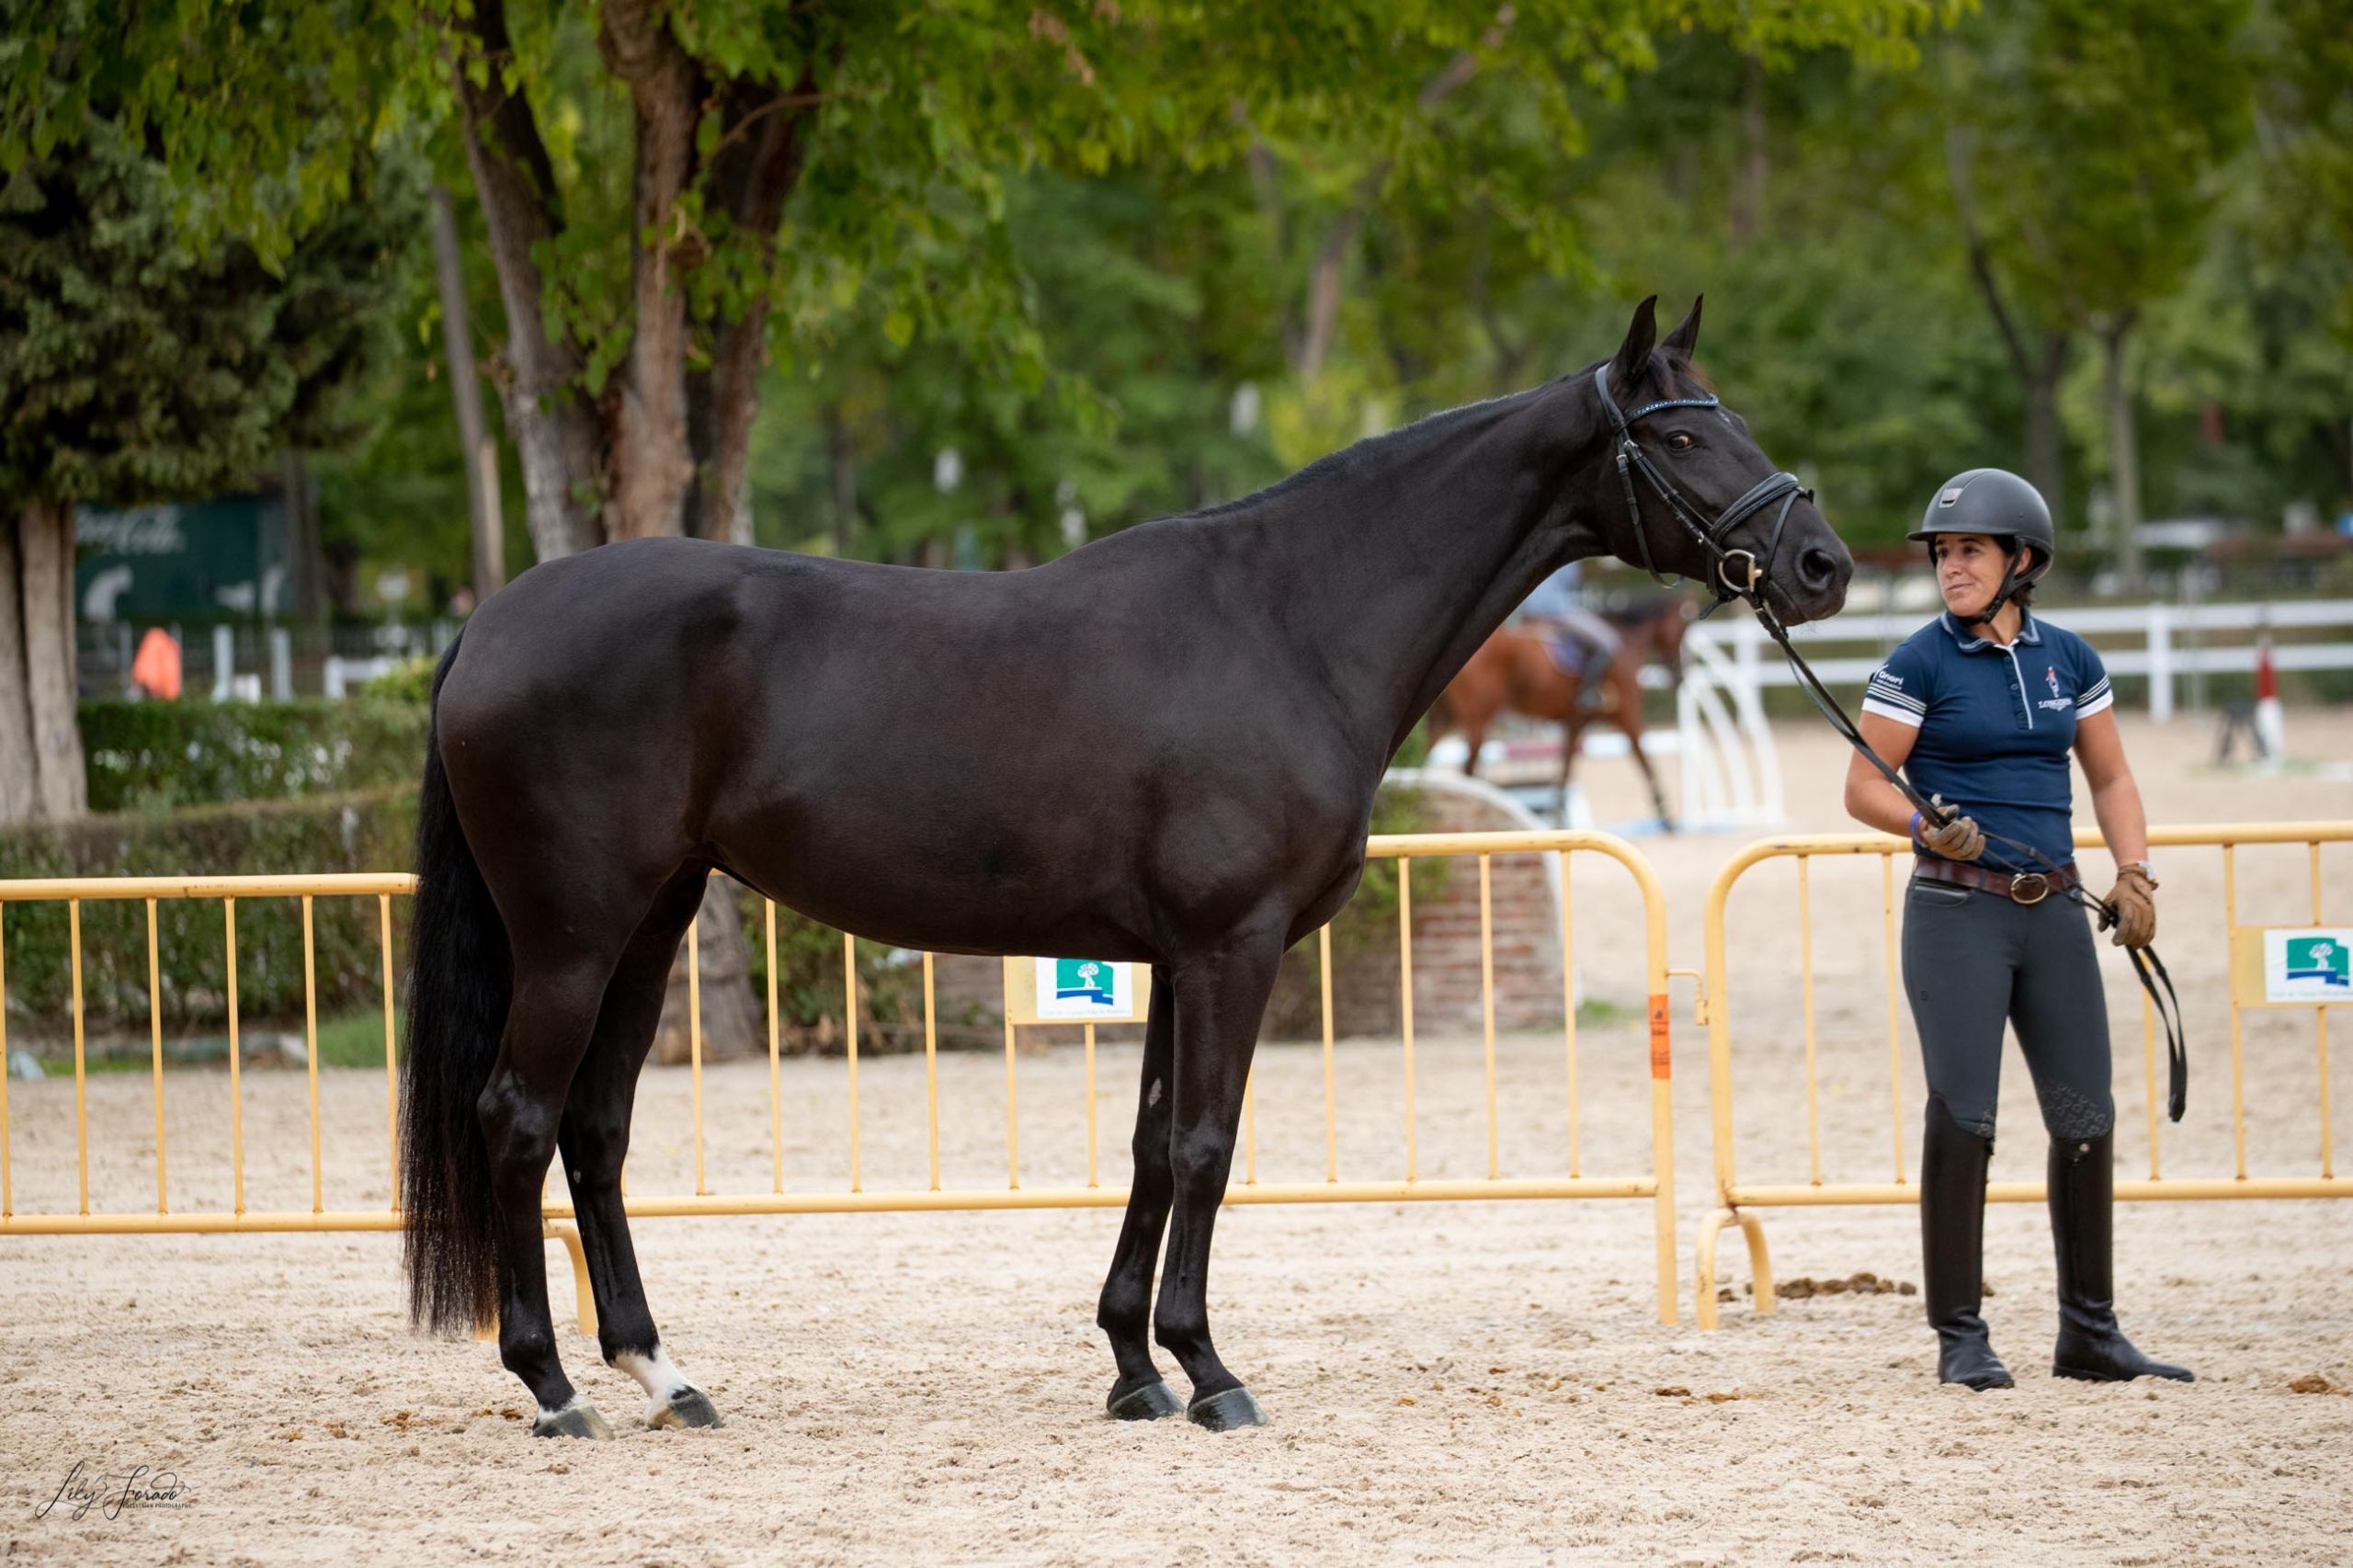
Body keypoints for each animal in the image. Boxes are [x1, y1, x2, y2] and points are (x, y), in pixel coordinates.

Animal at [1412, 593, 1694, 824]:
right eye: (1682, 628)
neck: (1626, 639)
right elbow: (1644, 758)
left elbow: (1566, 770)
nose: (1680, 676)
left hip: (1444, 718)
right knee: (1468, 771)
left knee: (1425, 762)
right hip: (1477, 720)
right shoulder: (1627, 714)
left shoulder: (1576, 723)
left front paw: (1556, 814)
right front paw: (1665, 813)